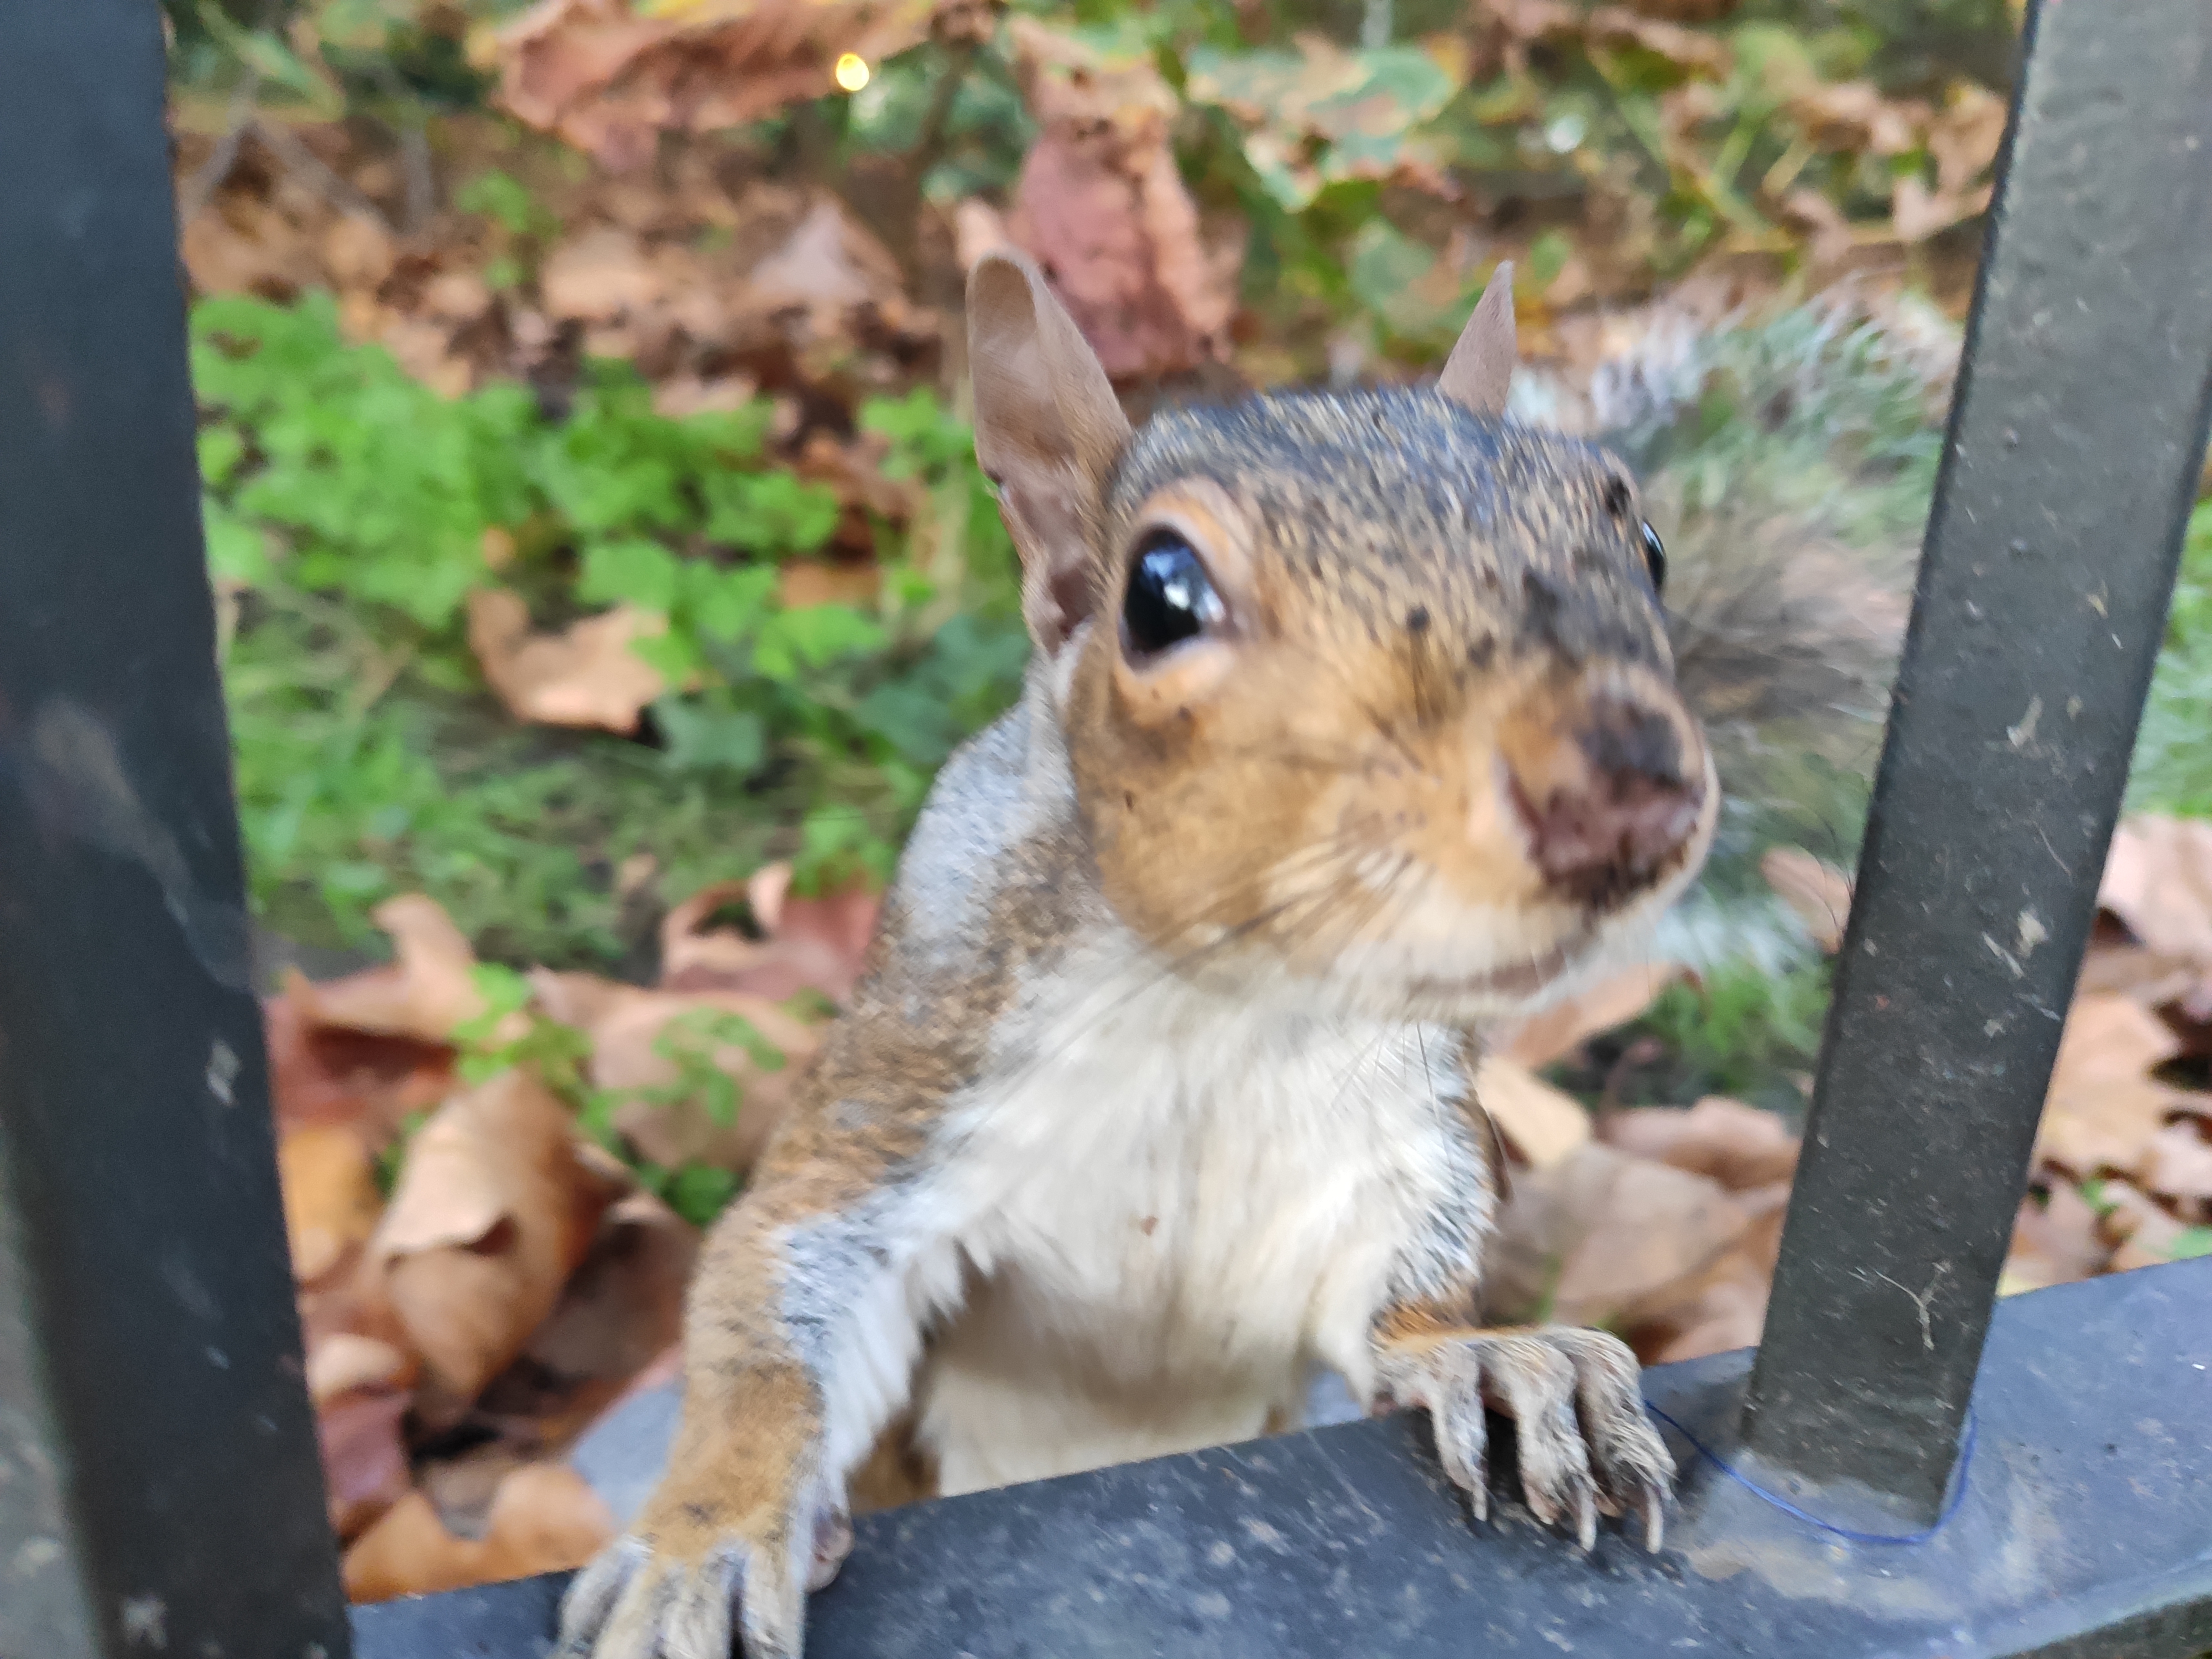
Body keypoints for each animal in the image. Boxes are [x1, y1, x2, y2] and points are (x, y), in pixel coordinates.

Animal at [557, 249, 1722, 1659]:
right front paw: (705, 1543)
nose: (1626, 788)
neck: (1224, 1006)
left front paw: (1492, 1355)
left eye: (1646, 548)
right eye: (1159, 594)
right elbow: (781, 1295)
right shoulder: (906, 1084)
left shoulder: (1400, 1149)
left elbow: (1397, 1300)